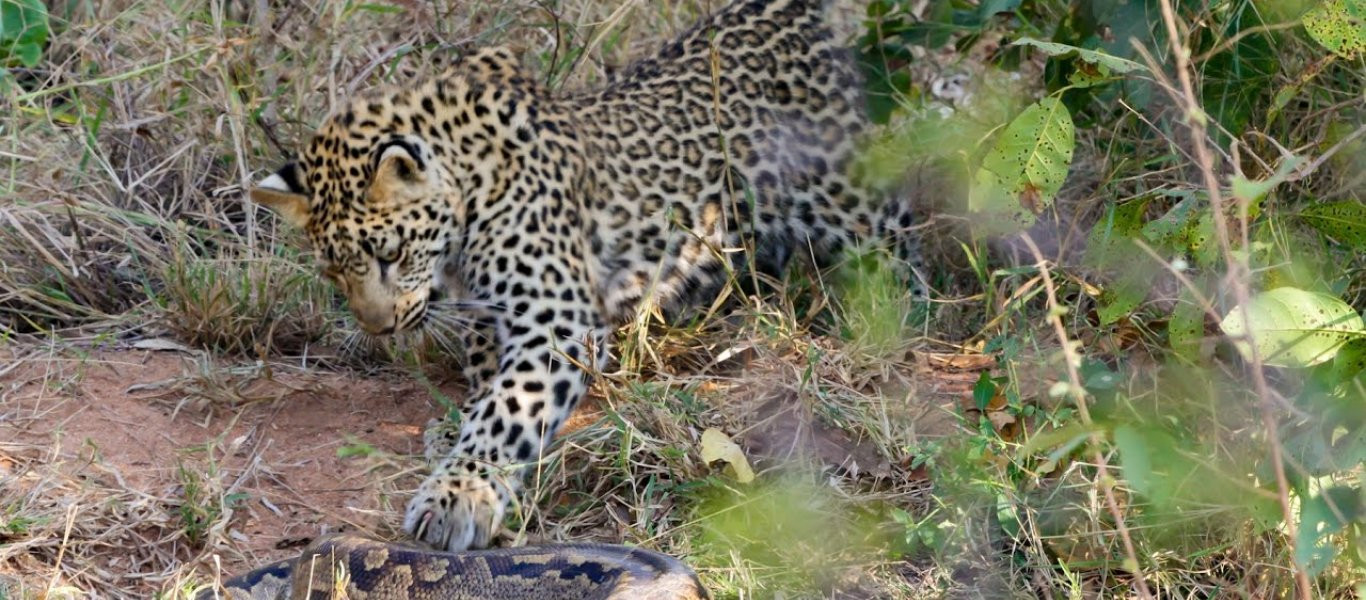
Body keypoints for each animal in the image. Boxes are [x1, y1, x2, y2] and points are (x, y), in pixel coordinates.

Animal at [247, 0, 928, 557]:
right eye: (334, 272)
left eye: (390, 253)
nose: (378, 326)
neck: (469, 190)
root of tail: (790, 10)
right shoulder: (490, 318)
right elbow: (488, 388)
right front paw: (461, 442)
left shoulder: (555, 319)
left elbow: (509, 409)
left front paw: (459, 495)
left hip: (847, 199)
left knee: (899, 241)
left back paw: (902, 316)